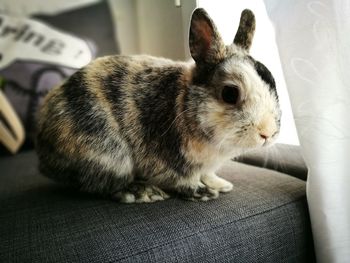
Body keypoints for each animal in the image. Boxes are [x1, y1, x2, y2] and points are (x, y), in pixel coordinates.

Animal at [35, 7, 280, 203]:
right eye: (230, 93)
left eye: (273, 82)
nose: (267, 133)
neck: (185, 104)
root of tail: (44, 155)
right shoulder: (172, 164)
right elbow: (185, 181)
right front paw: (204, 193)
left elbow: (208, 175)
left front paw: (221, 185)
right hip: (109, 155)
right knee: (104, 184)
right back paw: (144, 193)